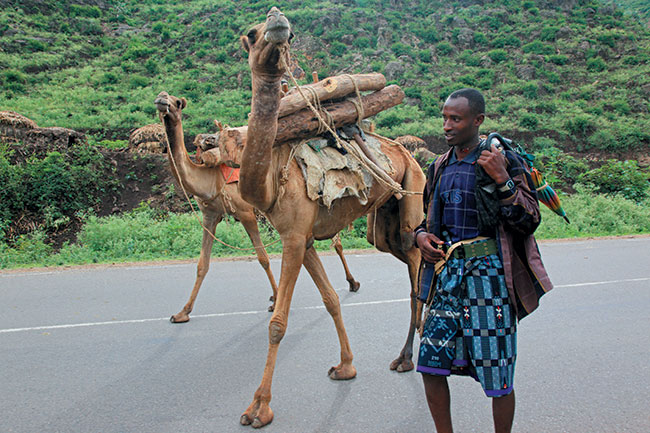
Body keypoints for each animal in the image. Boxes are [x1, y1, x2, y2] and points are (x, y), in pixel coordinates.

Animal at [152, 93, 360, 318]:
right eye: (162, 96)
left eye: (177, 103)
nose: (162, 100)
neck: (210, 178)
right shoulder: (210, 215)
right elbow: (202, 264)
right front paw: (182, 313)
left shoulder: (245, 212)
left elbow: (263, 258)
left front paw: (276, 299)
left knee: (336, 242)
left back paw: (353, 282)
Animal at [235, 8, 422, 426]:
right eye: (252, 34)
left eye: (288, 35)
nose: (278, 20)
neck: (272, 179)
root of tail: (406, 151)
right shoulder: (302, 238)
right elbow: (331, 299)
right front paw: (346, 366)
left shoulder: (292, 237)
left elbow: (277, 323)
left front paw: (259, 407)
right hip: (381, 226)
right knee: (406, 257)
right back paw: (405, 354)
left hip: (414, 190)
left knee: (420, 257)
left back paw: (412, 355)